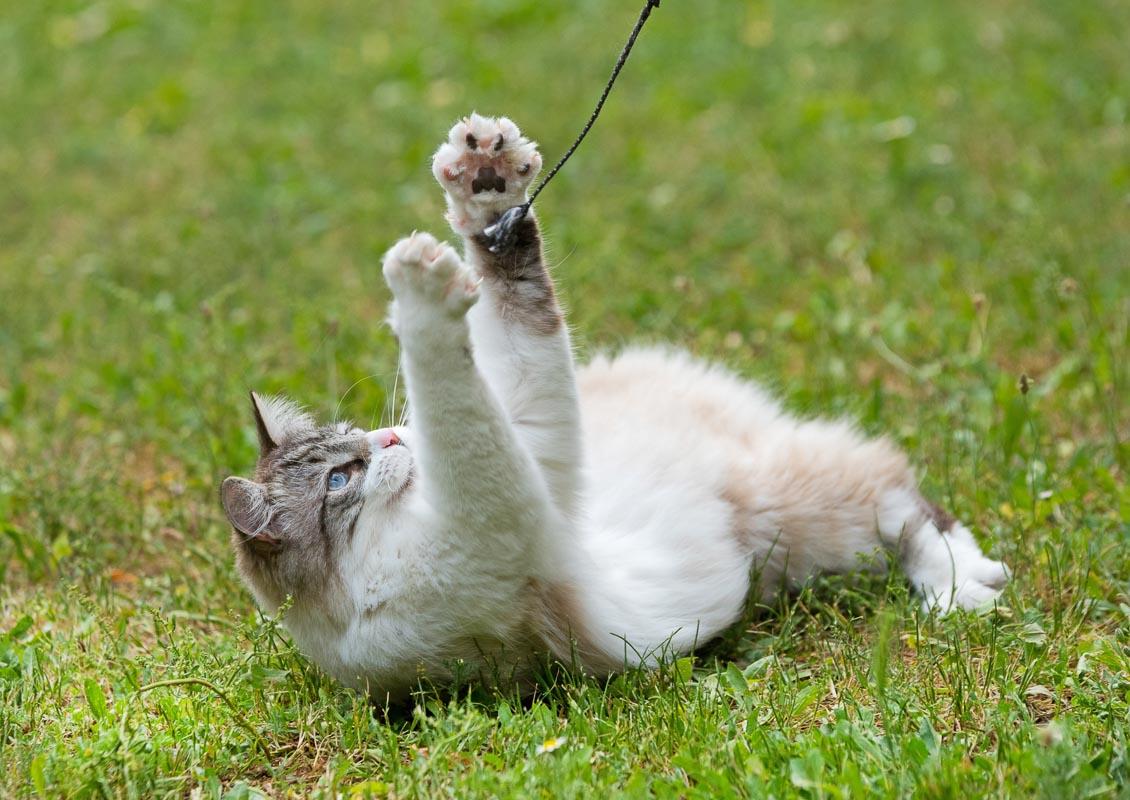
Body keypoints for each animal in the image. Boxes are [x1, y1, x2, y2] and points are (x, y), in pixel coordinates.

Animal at [218, 112, 1007, 700]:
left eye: (356, 437)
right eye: (339, 479)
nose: (391, 442)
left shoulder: (532, 439)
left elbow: (510, 299)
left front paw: (485, 184)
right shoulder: (501, 506)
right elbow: (446, 375)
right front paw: (417, 281)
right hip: (796, 516)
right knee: (903, 501)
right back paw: (966, 590)